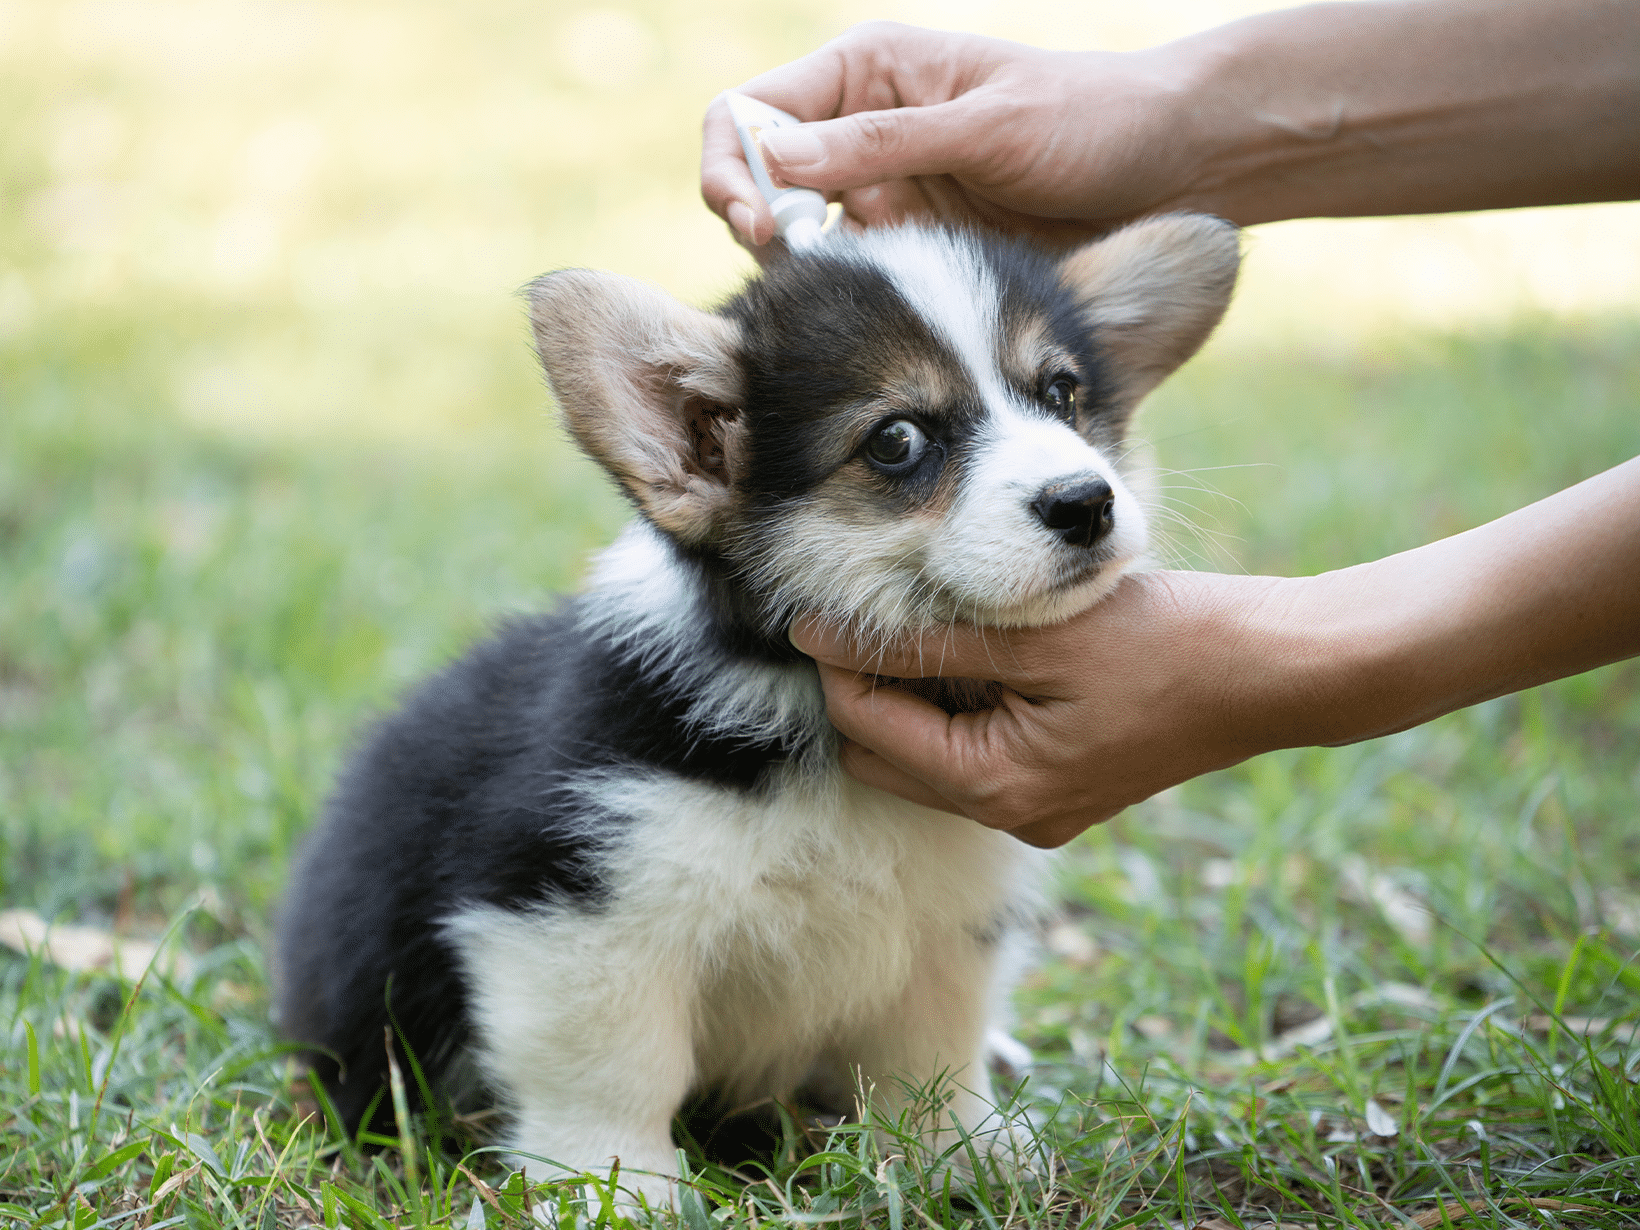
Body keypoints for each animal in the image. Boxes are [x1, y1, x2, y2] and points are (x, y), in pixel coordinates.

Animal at [275, 216, 1233, 1207]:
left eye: (1061, 393)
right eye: (896, 439)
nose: (1087, 503)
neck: (800, 699)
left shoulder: (945, 926)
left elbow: (930, 1053)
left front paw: (960, 1151)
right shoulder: (567, 913)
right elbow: (614, 1074)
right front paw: (623, 1190)